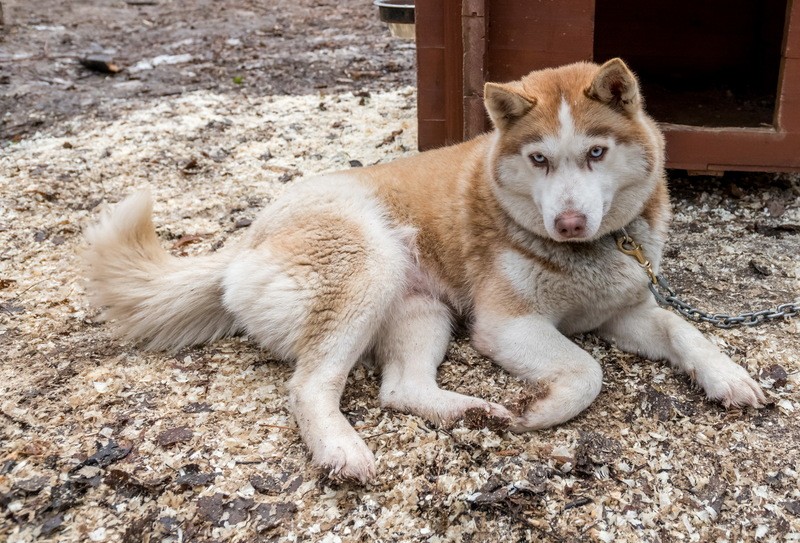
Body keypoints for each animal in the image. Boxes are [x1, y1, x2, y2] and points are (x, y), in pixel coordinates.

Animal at [84, 60, 764, 484]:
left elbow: (683, 329)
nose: (569, 222)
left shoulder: (625, 309)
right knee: (309, 386)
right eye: (539, 159)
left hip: (422, 309)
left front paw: (730, 377)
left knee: (400, 389)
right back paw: (343, 451)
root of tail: (245, 238)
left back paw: (472, 412)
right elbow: (587, 371)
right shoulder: (506, 323)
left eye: (596, 152)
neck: (588, 252)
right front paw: (540, 409)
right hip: (369, 269)